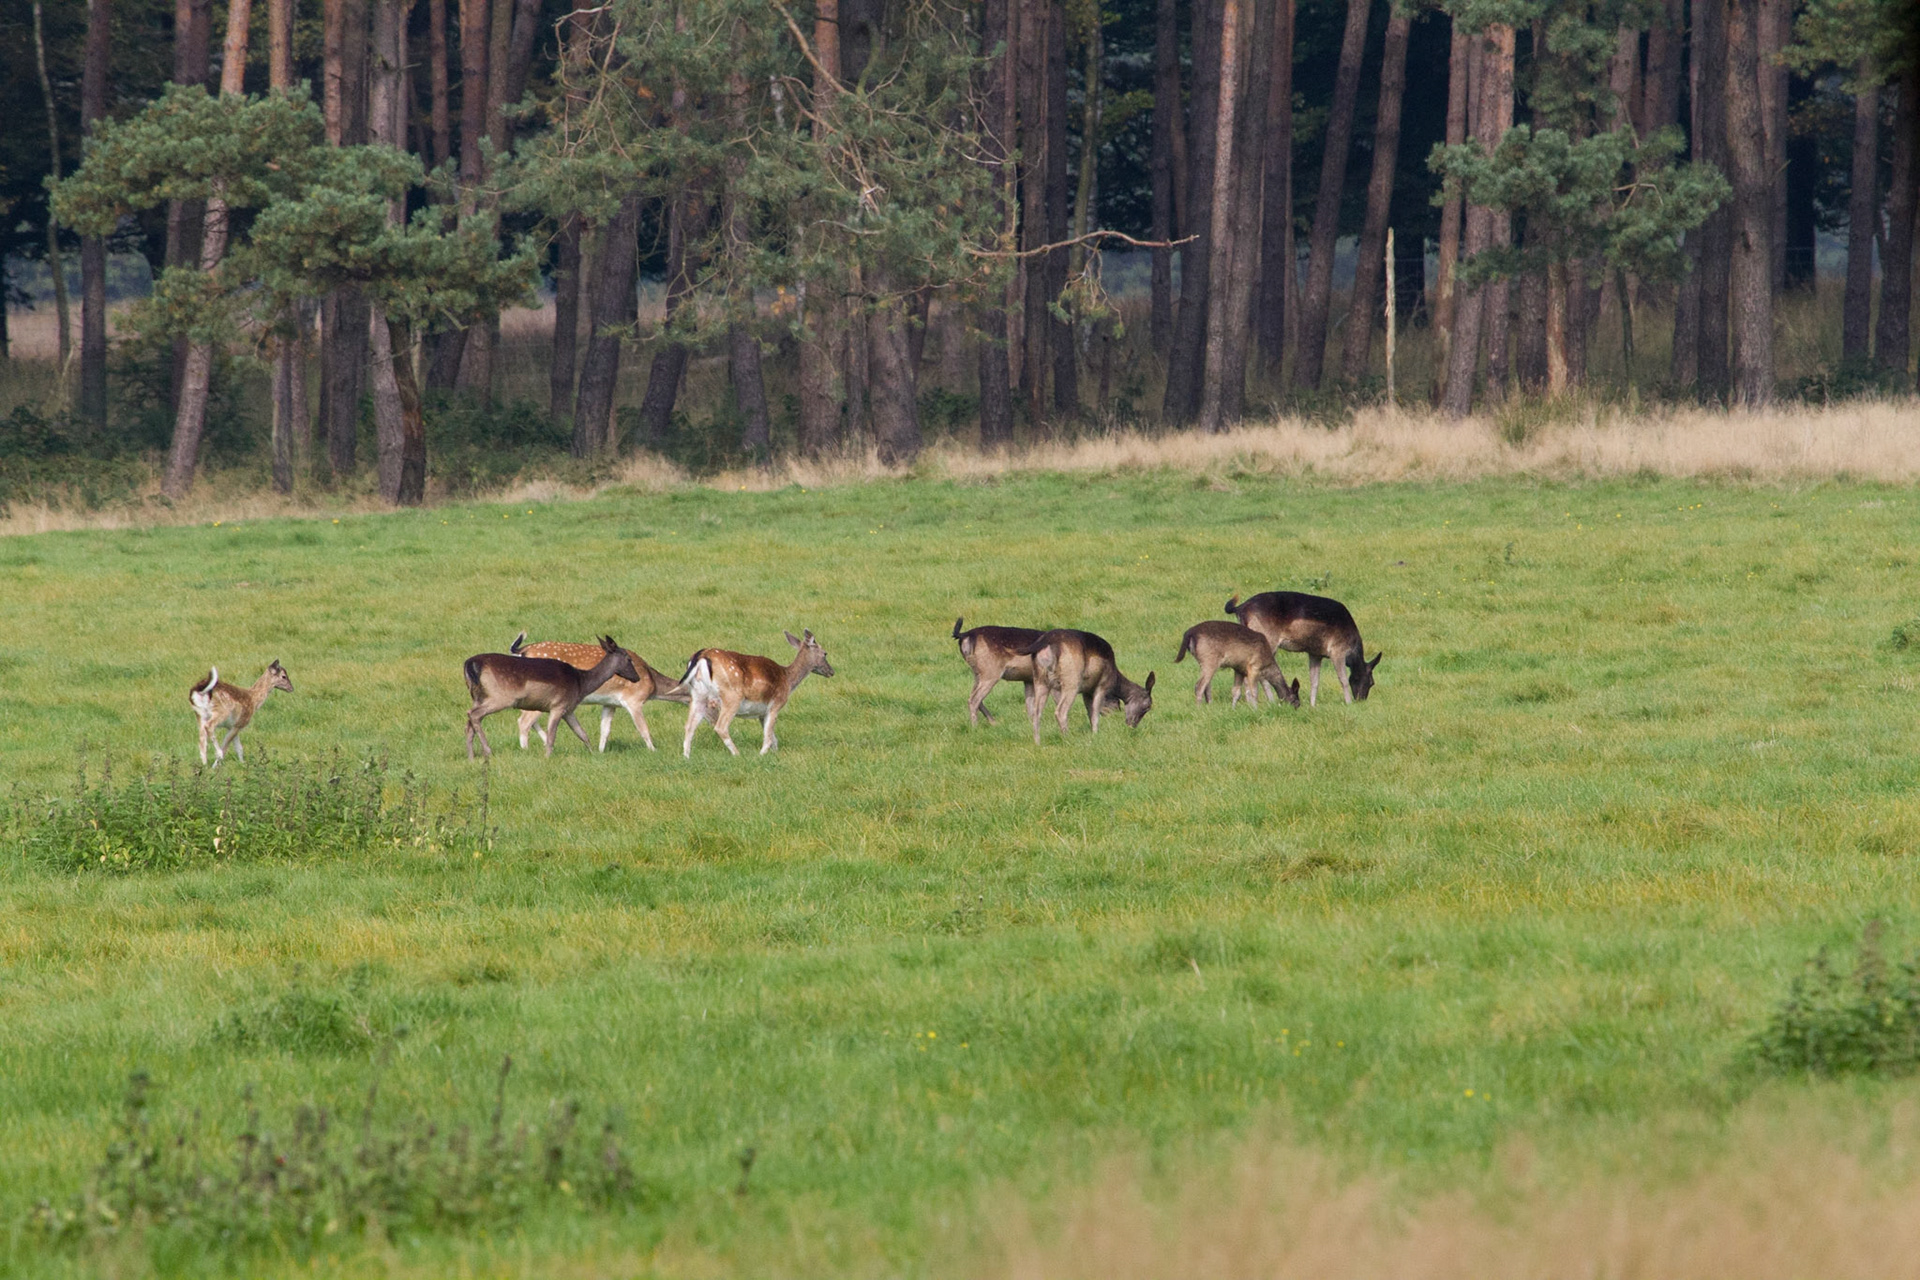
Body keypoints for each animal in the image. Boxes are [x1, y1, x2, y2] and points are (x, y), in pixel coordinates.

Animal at [463, 636, 641, 759]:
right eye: (628, 658)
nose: (637, 677)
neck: (581, 683)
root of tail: (469, 664)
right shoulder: (558, 705)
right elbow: (552, 736)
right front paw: (547, 757)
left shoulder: (569, 709)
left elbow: (582, 733)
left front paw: (593, 754)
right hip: (500, 697)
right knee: (474, 714)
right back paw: (487, 750)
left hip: (478, 696)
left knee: (469, 719)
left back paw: (471, 756)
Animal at [506, 632, 690, 753]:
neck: (652, 685)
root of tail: (523, 650)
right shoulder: (634, 699)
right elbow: (643, 728)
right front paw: (654, 750)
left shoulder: (610, 703)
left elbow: (605, 729)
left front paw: (600, 752)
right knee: (523, 721)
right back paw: (527, 750)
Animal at [681, 630, 834, 758]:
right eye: (825, 653)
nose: (831, 671)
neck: (788, 680)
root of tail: (701, 656)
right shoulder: (776, 704)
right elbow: (768, 737)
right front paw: (761, 754)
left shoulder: (762, 713)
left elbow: (773, 738)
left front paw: (774, 754)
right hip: (732, 695)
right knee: (720, 727)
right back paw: (737, 754)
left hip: (698, 695)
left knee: (689, 726)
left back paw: (686, 757)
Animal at [1019, 629, 1155, 742]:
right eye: (1147, 706)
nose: (1132, 725)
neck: (1115, 678)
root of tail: (1046, 641)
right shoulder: (1101, 686)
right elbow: (1095, 713)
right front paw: (1095, 735)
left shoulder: (1087, 691)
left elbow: (1090, 712)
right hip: (1072, 679)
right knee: (1060, 711)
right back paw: (1068, 739)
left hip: (1039, 679)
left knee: (1036, 712)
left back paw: (1037, 742)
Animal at [1224, 591, 1382, 707]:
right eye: (1372, 682)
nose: (1361, 700)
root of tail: (1239, 608)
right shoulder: (1337, 649)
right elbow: (1342, 678)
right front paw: (1348, 703)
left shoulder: (1315, 653)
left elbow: (1314, 680)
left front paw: (1313, 706)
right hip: (1268, 639)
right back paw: (1269, 702)